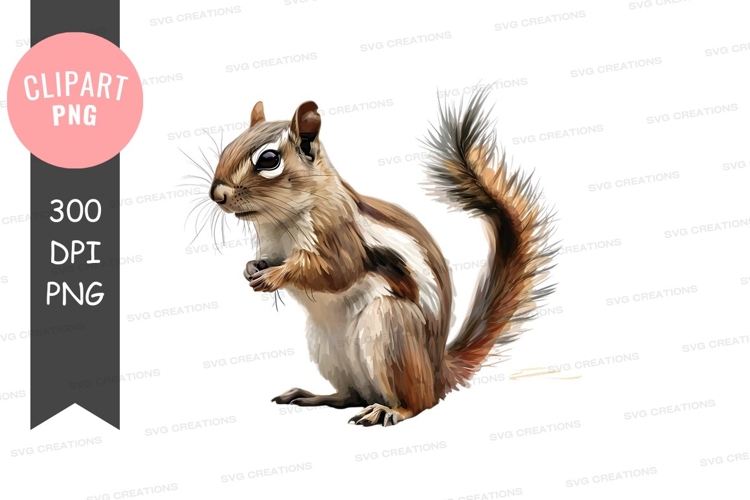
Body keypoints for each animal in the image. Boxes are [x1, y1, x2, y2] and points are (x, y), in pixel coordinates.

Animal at [209, 87, 558, 427]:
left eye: (268, 159)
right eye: (228, 146)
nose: (217, 195)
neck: (279, 220)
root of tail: (436, 372)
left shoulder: (339, 235)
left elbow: (335, 272)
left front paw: (275, 276)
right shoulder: (272, 246)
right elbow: (266, 260)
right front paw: (251, 268)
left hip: (392, 330)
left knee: (419, 403)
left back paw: (390, 411)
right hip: (326, 349)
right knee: (351, 395)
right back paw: (313, 396)